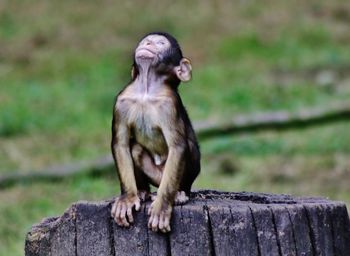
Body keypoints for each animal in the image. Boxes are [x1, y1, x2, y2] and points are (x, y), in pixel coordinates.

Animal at [110, 31, 201, 232]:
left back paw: (179, 194)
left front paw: (162, 207)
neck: (146, 91)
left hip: (173, 176)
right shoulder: (121, 102)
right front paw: (127, 198)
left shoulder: (169, 104)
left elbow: (178, 146)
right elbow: (120, 144)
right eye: (145, 41)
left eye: (160, 43)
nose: (148, 44)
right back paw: (142, 191)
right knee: (135, 148)